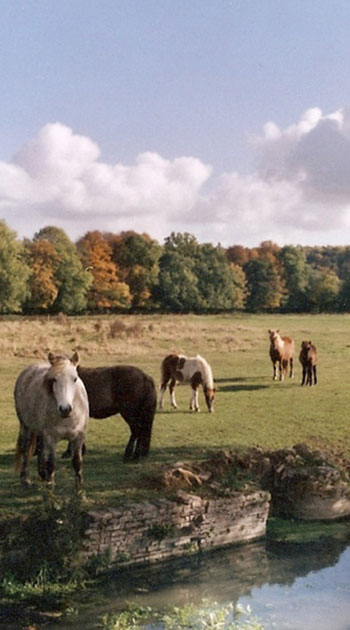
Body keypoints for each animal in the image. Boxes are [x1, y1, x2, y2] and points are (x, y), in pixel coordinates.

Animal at [14, 354, 89, 492]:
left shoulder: (78, 437)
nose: (65, 409)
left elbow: (77, 462)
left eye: (75, 379)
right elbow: (51, 464)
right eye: (54, 379)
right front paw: (50, 490)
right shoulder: (51, 438)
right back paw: (25, 479)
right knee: (25, 449)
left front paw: (79, 490)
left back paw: (42, 476)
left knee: (40, 449)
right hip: (25, 427)